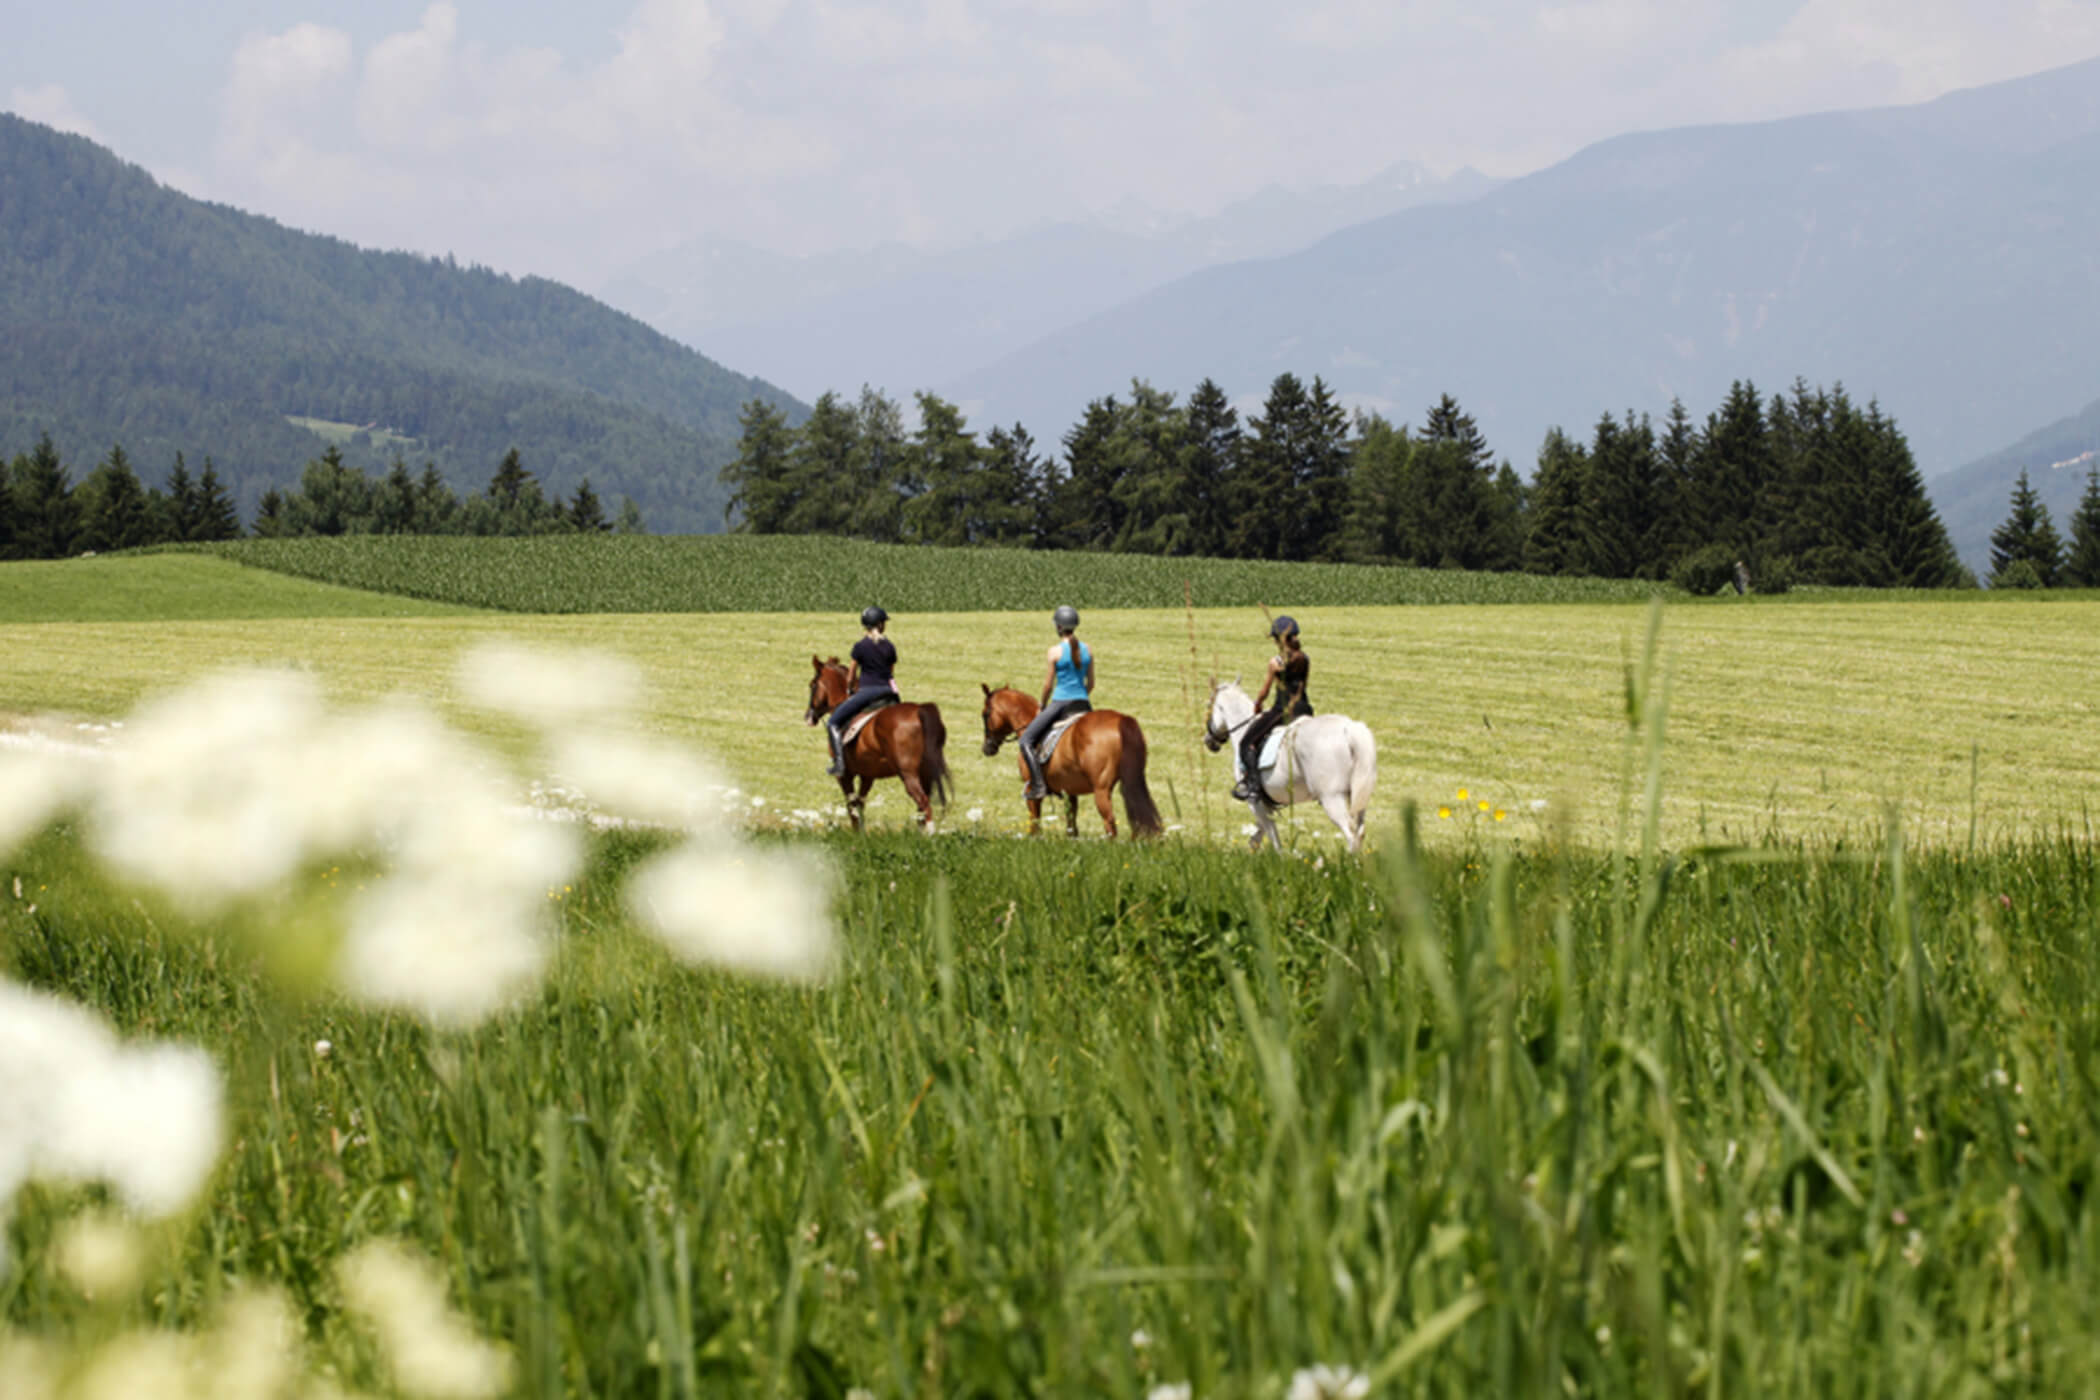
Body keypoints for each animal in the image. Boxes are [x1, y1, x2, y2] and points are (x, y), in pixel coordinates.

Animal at [805, 656, 951, 831]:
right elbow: (860, 804)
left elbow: (852, 807)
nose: (808, 717)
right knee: (921, 809)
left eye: (812, 684)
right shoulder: (868, 775)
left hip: (908, 774)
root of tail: (920, 711)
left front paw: (856, 833)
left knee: (924, 803)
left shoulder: (844, 775)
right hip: (925, 772)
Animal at [979, 685, 1162, 838]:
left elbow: (1035, 825)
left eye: (985, 714)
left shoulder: (1032, 793)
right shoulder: (1070, 792)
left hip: (1101, 790)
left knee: (1110, 823)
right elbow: (1071, 827)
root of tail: (1121, 720)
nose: (987, 748)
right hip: (1134, 783)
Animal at [1203, 678, 1377, 853]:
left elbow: (1272, 833)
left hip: (1332, 798)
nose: (1209, 741)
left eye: (1209, 705)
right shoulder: (1264, 803)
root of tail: (1348, 729)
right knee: (1359, 831)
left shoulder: (1254, 800)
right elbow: (1258, 834)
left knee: (1350, 832)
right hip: (1357, 797)